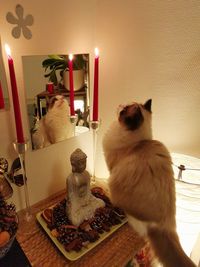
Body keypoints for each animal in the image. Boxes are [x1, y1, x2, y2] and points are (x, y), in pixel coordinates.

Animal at [102, 99, 196, 266]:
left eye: (124, 110)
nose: (119, 104)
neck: (139, 142)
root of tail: (165, 226)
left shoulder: (111, 169)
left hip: (115, 185)